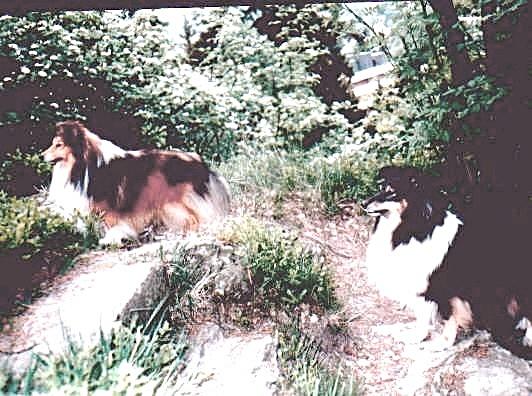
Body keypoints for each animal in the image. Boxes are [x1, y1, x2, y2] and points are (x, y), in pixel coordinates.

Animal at [42, 120, 230, 244]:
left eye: (58, 145)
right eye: (53, 144)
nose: (41, 155)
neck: (86, 164)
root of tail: (200, 162)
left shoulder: (109, 208)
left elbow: (112, 224)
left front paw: (111, 240)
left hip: (178, 203)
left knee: (195, 219)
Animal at [364, 166, 532, 360]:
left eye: (392, 192)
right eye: (381, 187)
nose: (363, 204)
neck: (413, 227)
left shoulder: (444, 290)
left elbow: (449, 318)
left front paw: (440, 344)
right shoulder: (424, 287)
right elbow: (423, 316)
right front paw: (416, 336)